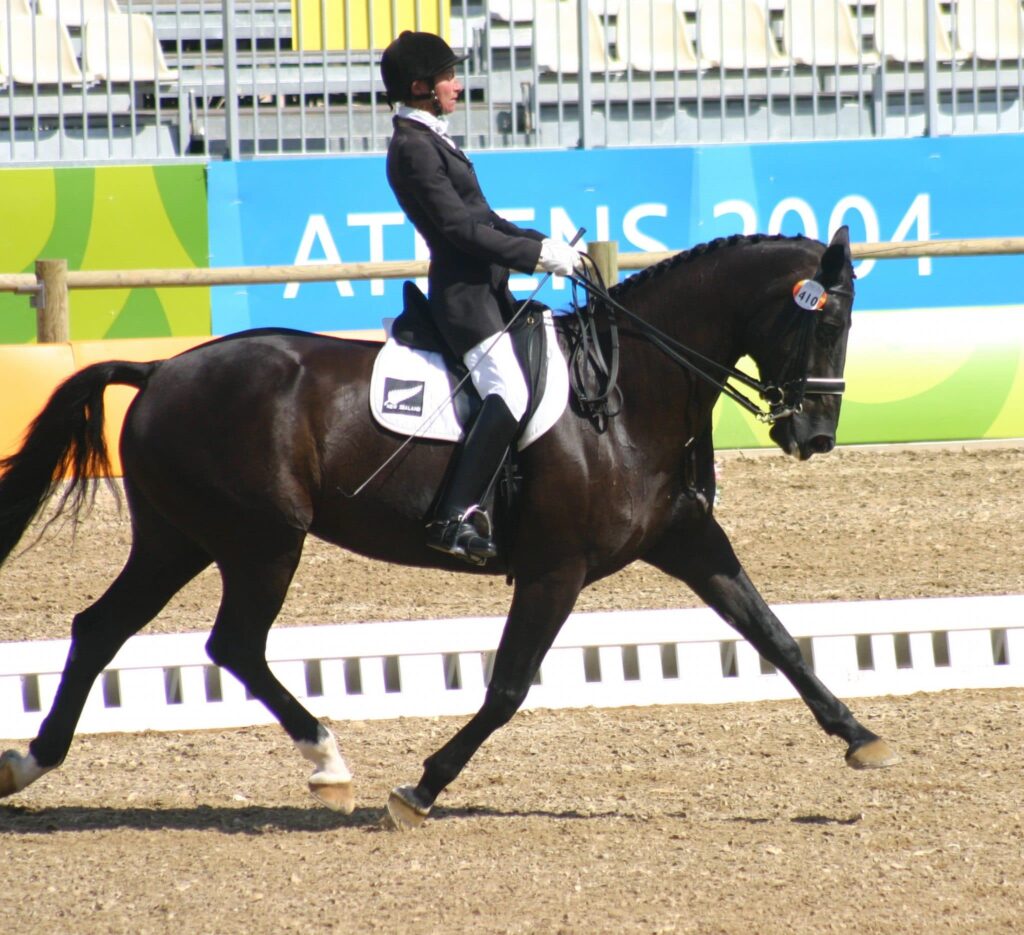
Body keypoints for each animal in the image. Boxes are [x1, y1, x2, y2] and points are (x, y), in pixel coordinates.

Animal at [0, 229, 897, 827]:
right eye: (824, 323)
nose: (814, 436)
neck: (625, 391)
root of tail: (162, 369)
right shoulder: (555, 568)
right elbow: (507, 686)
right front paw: (420, 789)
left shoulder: (687, 541)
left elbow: (776, 636)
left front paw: (862, 736)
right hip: (262, 542)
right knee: (234, 644)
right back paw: (329, 762)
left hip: (179, 538)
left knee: (102, 627)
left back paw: (29, 763)